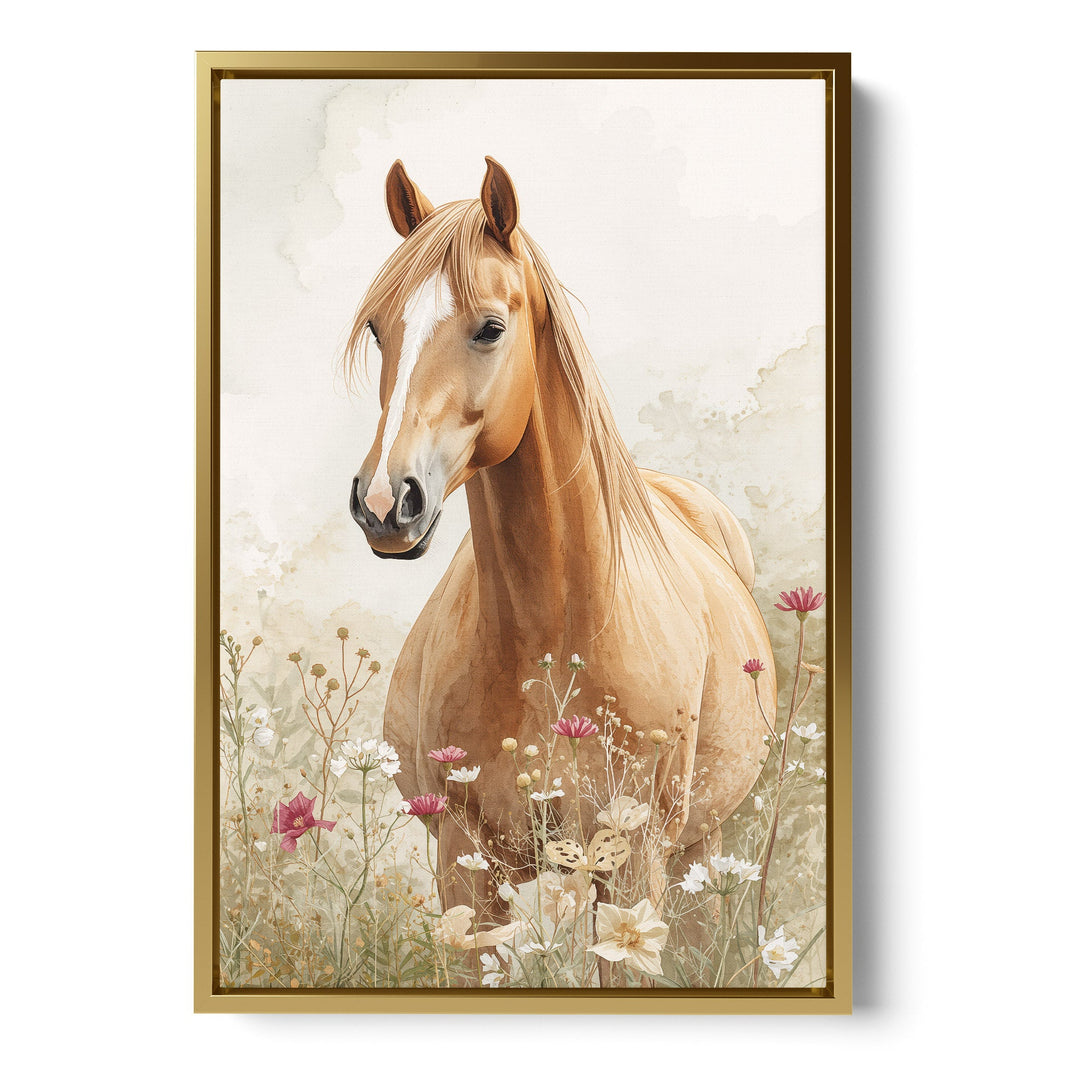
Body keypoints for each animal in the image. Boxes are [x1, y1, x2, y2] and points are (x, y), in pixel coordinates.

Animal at [345, 157, 776, 955]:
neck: (552, 634)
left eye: (490, 327)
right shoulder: (469, 865)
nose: (386, 502)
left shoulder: (635, 865)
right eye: (380, 330)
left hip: (695, 851)